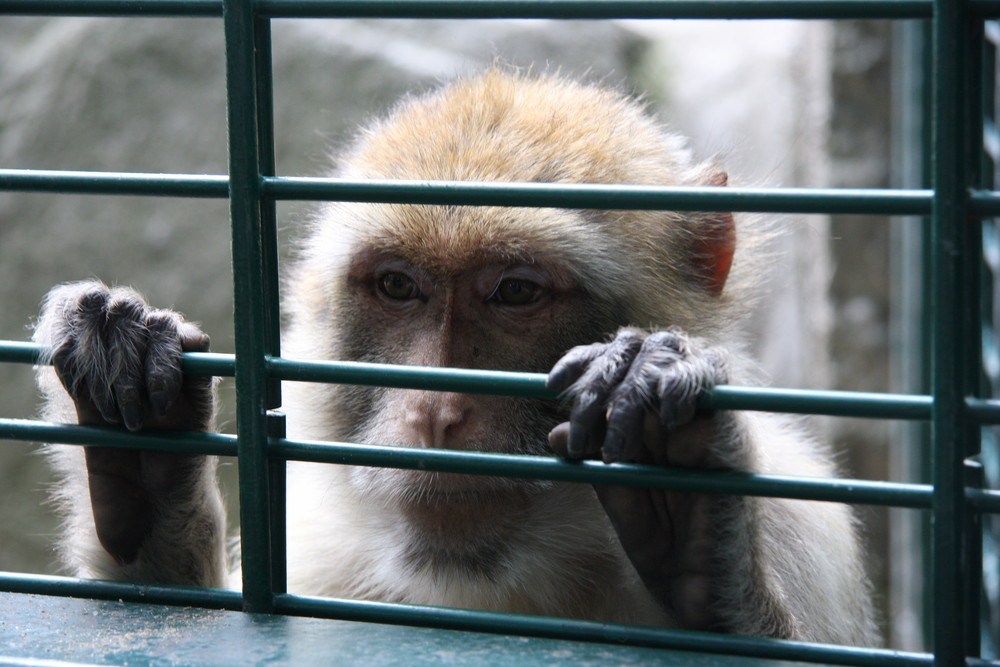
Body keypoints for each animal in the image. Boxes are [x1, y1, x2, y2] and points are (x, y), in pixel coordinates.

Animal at [29, 69, 876, 648]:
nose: (435, 408)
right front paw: (141, 463)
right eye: (399, 286)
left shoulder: (808, 530)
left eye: (515, 291)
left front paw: (694, 525)